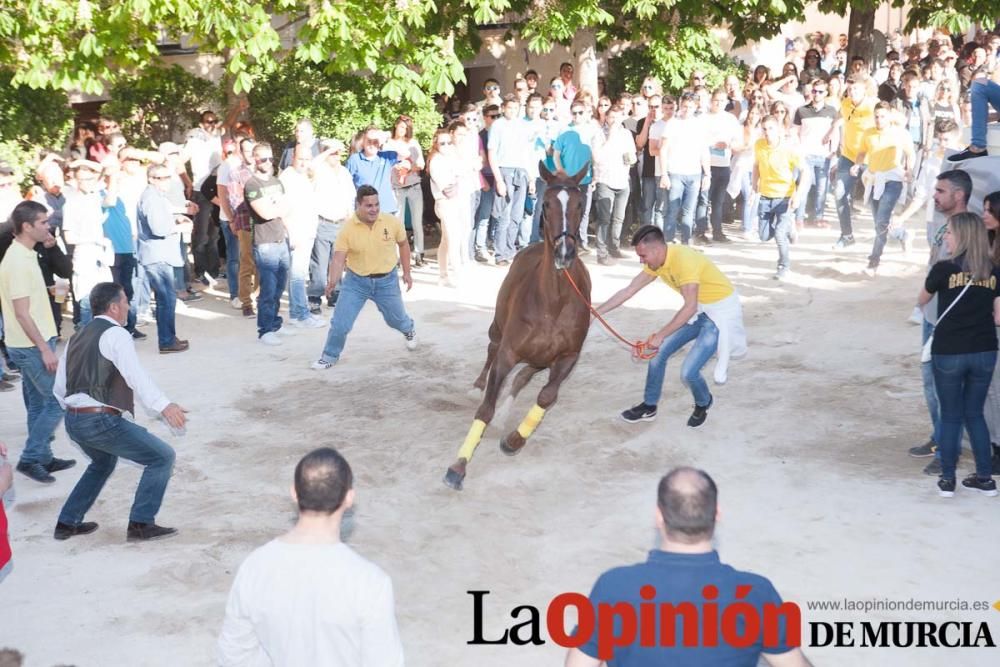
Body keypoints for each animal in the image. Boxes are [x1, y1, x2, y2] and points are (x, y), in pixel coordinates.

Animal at [442, 164, 588, 490]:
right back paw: (478, 386)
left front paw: (514, 439)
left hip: (540, 359)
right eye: (546, 204)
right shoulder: (508, 352)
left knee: (524, 377)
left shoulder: (568, 357)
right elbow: (485, 407)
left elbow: (546, 396)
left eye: (580, 204)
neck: (553, 302)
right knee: (491, 351)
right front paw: (458, 466)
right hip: (497, 327)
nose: (564, 253)